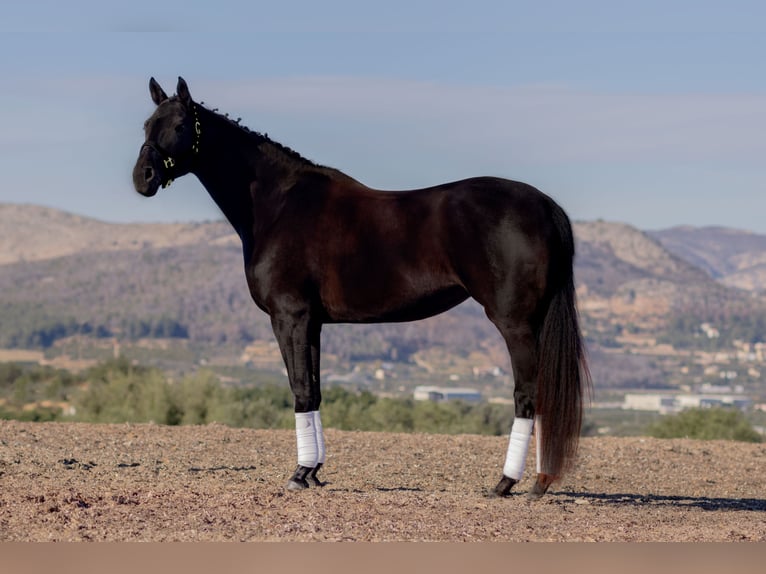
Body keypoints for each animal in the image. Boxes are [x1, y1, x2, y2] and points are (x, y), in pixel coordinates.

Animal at [132, 76, 592, 500]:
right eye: (146, 124)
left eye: (178, 125)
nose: (143, 178)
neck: (278, 205)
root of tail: (544, 205)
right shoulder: (313, 323)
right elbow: (315, 390)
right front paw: (314, 471)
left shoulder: (289, 317)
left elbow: (300, 390)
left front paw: (299, 474)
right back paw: (540, 481)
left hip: (513, 322)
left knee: (528, 394)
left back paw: (506, 483)